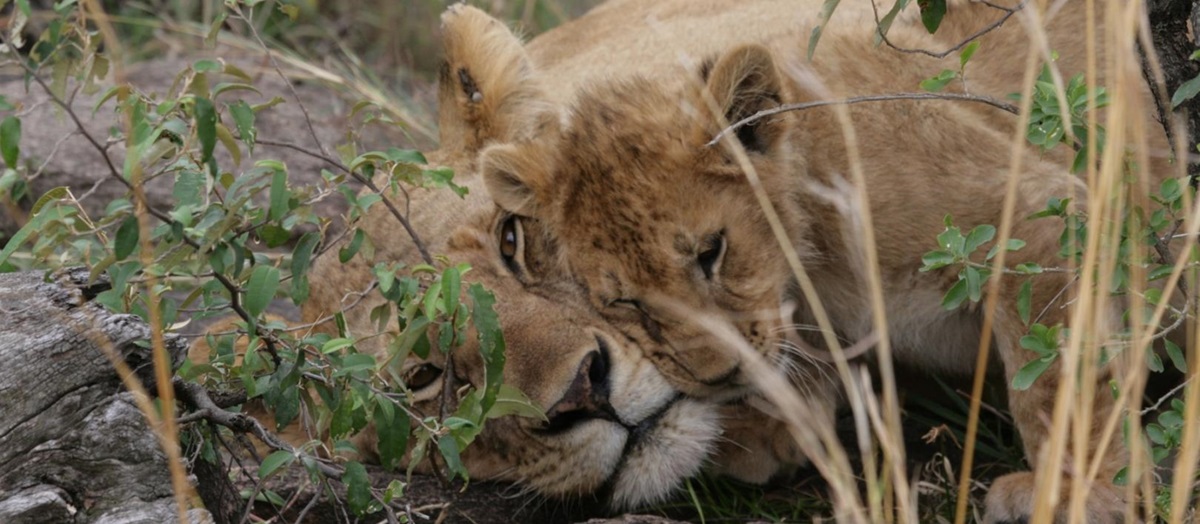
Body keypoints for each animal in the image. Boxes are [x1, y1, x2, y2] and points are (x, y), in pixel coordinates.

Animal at [465, 0, 1172, 521]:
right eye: (625, 302)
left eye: (712, 253)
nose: (720, 376)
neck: (818, 263)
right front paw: (753, 429)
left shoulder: (1035, 212)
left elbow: (1058, 377)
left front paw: (1079, 492)